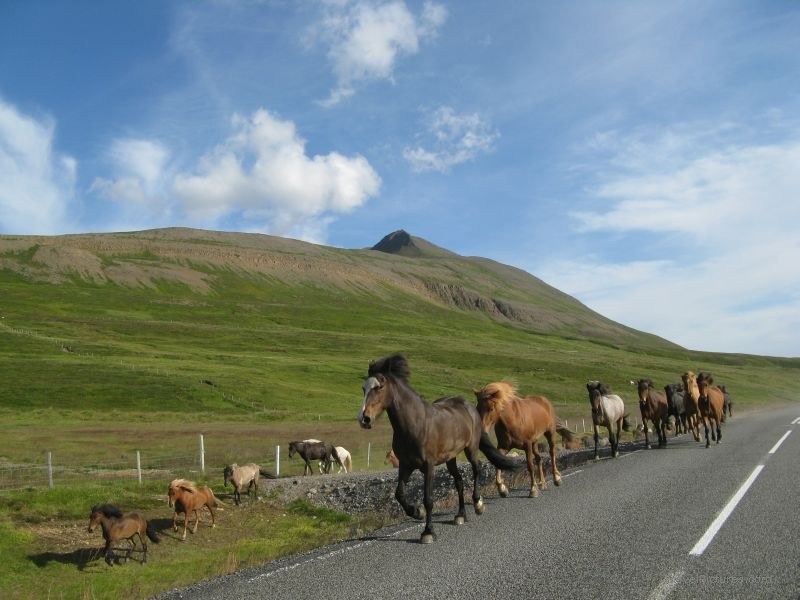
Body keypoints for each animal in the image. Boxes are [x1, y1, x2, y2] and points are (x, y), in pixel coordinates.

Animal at [358, 353, 520, 544]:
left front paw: (428, 532)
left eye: (379, 387)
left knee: (477, 469)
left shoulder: (428, 466)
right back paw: (460, 516)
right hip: (450, 458)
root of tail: (469, 406)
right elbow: (399, 494)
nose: (364, 419)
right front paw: (417, 512)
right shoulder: (405, 465)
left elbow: (428, 499)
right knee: (459, 481)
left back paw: (478, 504)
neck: (415, 425)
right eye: (363, 388)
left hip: (471, 449)